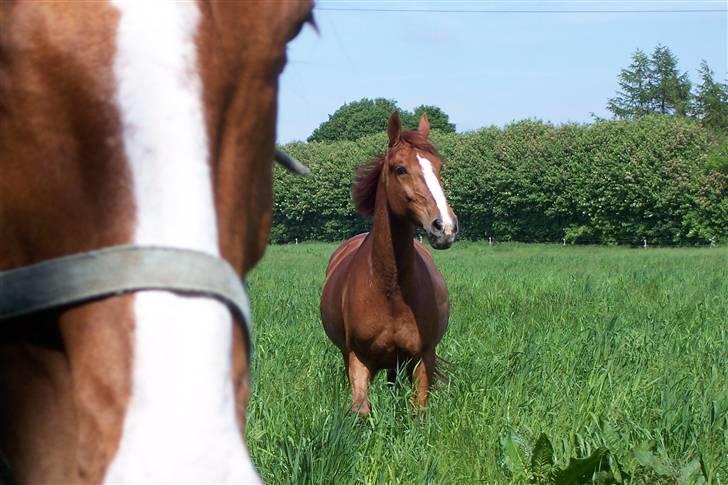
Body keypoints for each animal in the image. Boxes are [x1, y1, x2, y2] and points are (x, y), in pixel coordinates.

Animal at [322, 112, 458, 412]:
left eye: (439, 168)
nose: (445, 227)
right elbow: (361, 410)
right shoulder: (358, 360)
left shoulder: (422, 358)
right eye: (400, 169)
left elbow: (419, 410)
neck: (389, 288)